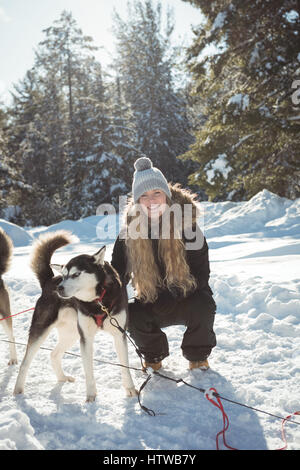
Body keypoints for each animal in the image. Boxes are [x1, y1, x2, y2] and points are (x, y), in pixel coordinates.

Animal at [13, 229, 136, 402]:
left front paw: (130, 389)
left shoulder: (119, 334)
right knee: (25, 362)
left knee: (54, 354)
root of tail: (50, 280)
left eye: (76, 274)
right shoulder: (86, 338)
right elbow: (88, 370)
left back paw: (62, 378)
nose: (59, 288)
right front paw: (91, 395)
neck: (98, 301)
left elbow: (124, 365)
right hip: (42, 330)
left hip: (71, 333)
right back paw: (18, 389)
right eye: (65, 275)